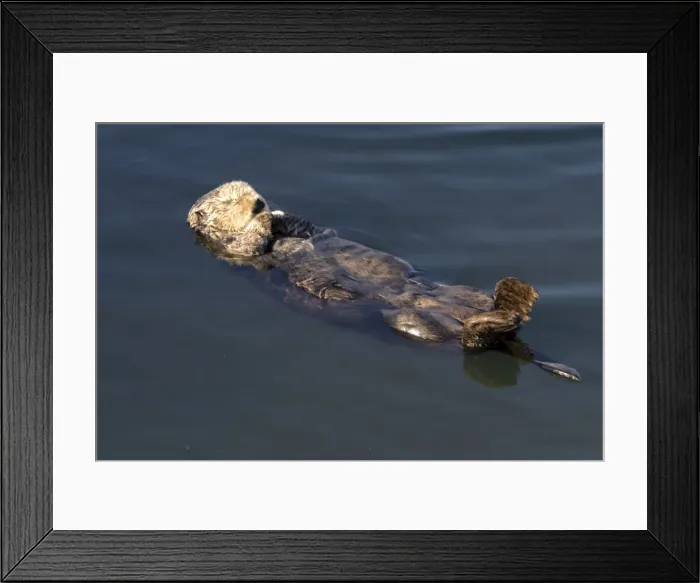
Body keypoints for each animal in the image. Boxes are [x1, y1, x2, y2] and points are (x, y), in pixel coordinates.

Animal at [187, 181, 581, 382]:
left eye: (250, 191)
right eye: (230, 201)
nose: (258, 202)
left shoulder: (307, 229)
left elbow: (306, 225)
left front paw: (279, 212)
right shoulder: (230, 249)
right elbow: (248, 244)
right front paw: (264, 220)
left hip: (460, 294)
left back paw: (516, 298)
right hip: (412, 324)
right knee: (471, 341)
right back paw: (506, 309)